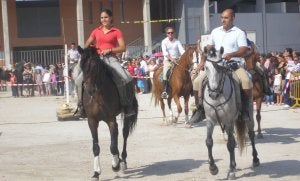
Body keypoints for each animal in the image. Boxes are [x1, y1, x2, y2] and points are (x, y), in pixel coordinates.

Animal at [77, 46, 139, 180]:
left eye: (94, 65)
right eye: (81, 66)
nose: (89, 89)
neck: (98, 94)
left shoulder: (111, 119)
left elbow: (113, 146)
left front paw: (115, 165)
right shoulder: (92, 121)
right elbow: (96, 147)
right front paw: (96, 172)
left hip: (126, 116)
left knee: (124, 135)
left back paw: (122, 161)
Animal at [204, 47, 260, 180]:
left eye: (220, 67)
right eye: (206, 67)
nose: (212, 93)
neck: (218, 96)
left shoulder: (228, 121)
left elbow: (230, 144)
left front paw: (231, 171)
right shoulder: (210, 120)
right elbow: (209, 142)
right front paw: (213, 168)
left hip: (249, 114)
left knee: (251, 134)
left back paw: (255, 159)